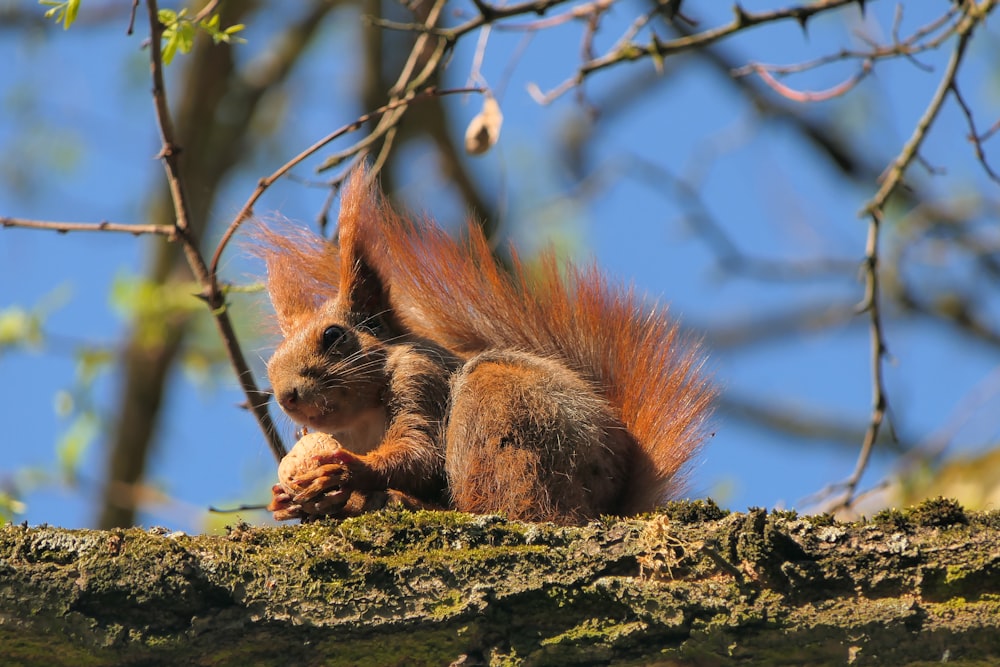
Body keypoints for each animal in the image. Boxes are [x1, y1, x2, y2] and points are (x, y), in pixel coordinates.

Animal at [254, 170, 716, 524]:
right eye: (271, 363)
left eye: (333, 336)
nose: (287, 396)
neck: (360, 420)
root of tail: (609, 502)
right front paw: (284, 500)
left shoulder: (421, 376)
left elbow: (420, 452)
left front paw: (349, 472)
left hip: (504, 405)